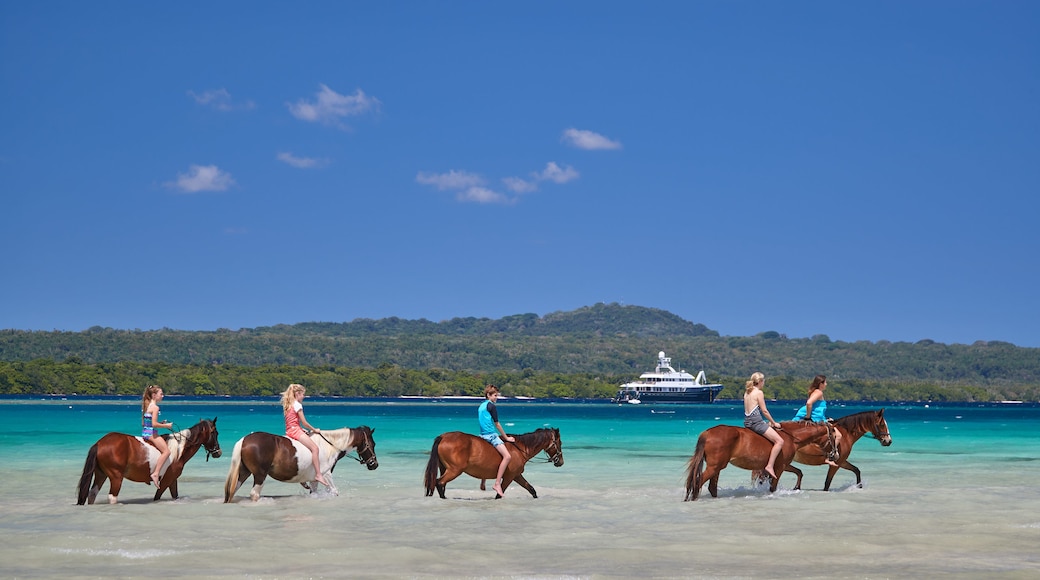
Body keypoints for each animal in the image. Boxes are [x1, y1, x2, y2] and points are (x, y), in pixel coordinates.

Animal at [75, 417, 220, 505]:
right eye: (215, 433)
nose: (218, 452)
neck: (179, 449)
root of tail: (100, 443)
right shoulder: (166, 480)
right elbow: (157, 497)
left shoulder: (173, 480)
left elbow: (175, 495)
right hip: (116, 477)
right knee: (112, 497)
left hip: (101, 474)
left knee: (92, 494)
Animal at [223, 428, 378, 505]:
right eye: (372, 444)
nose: (374, 464)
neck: (329, 446)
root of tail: (245, 440)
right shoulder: (326, 475)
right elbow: (334, 492)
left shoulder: (314, 480)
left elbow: (314, 493)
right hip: (260, 475)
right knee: (254, 494)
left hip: (243, 473)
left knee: (232, 491)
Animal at [424, 428, 565, 501]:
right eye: (560, 442)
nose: (561, 462)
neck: (519, 448)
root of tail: (443, 437)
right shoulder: (509, 477)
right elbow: (499, 494)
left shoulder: (516, 475)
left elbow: (531, 489)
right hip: (454, 470)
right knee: (439, 483)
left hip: (445, 469)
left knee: (441, 484)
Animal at [682, 419, 836, 503]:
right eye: (834, 437)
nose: (835, 455)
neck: (790, 437)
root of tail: (708, 432)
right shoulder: (780, 467)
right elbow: (773, 487)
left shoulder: (782, 465)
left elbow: (799, 472)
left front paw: (797, 487)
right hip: (714, 467)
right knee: (698, 482)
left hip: (717, 467)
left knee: (711, 487)